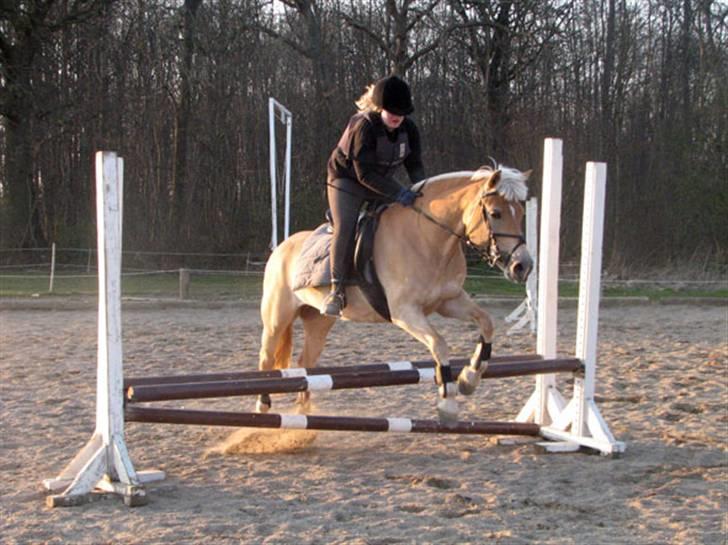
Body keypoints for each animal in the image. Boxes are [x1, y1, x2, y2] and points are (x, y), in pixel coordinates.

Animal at [258, 166, 532, 420]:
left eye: (521, 214)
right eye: (496, 213)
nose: (523, 266)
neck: (427, 239)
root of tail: (282, 246)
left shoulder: (449, 301)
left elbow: (486, 322)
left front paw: (469, 378)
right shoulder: (404, 312)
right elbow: (439, 343)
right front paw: (448, 402)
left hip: (318, 321)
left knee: (306, 363)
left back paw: (305, 414)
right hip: (276, 319)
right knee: (267, 359)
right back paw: (263, 407)